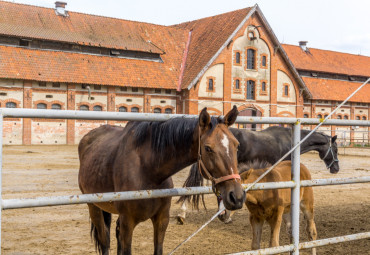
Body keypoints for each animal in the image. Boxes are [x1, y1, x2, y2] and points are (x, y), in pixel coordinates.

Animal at [78, 106, 246, 255]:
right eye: (208, 148)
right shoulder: (128, 223)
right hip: (93, 207)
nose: (237, 197)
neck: (148, 171)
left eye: (237, 145)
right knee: (104, 241)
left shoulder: (161, 219)